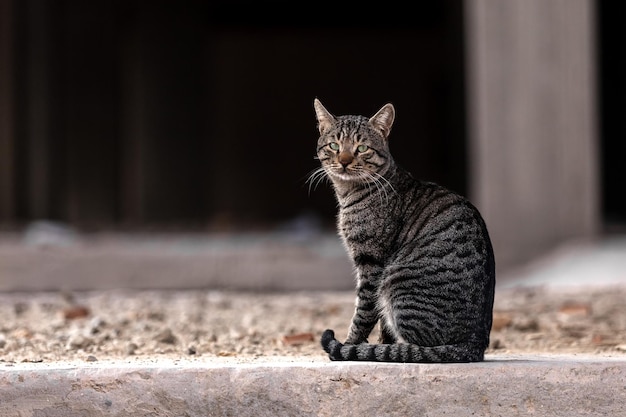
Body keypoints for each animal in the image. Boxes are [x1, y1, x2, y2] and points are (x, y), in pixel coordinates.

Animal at [310, 97, 494, 360]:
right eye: (334, 146)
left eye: (362, 148)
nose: (344, 161)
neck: (348, 193)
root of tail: (475, 343)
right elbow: (381, 322)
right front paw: (378, 345)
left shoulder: (371, 263)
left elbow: (363, 313)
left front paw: (349, 345)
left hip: (395, 282)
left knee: (418, 345)